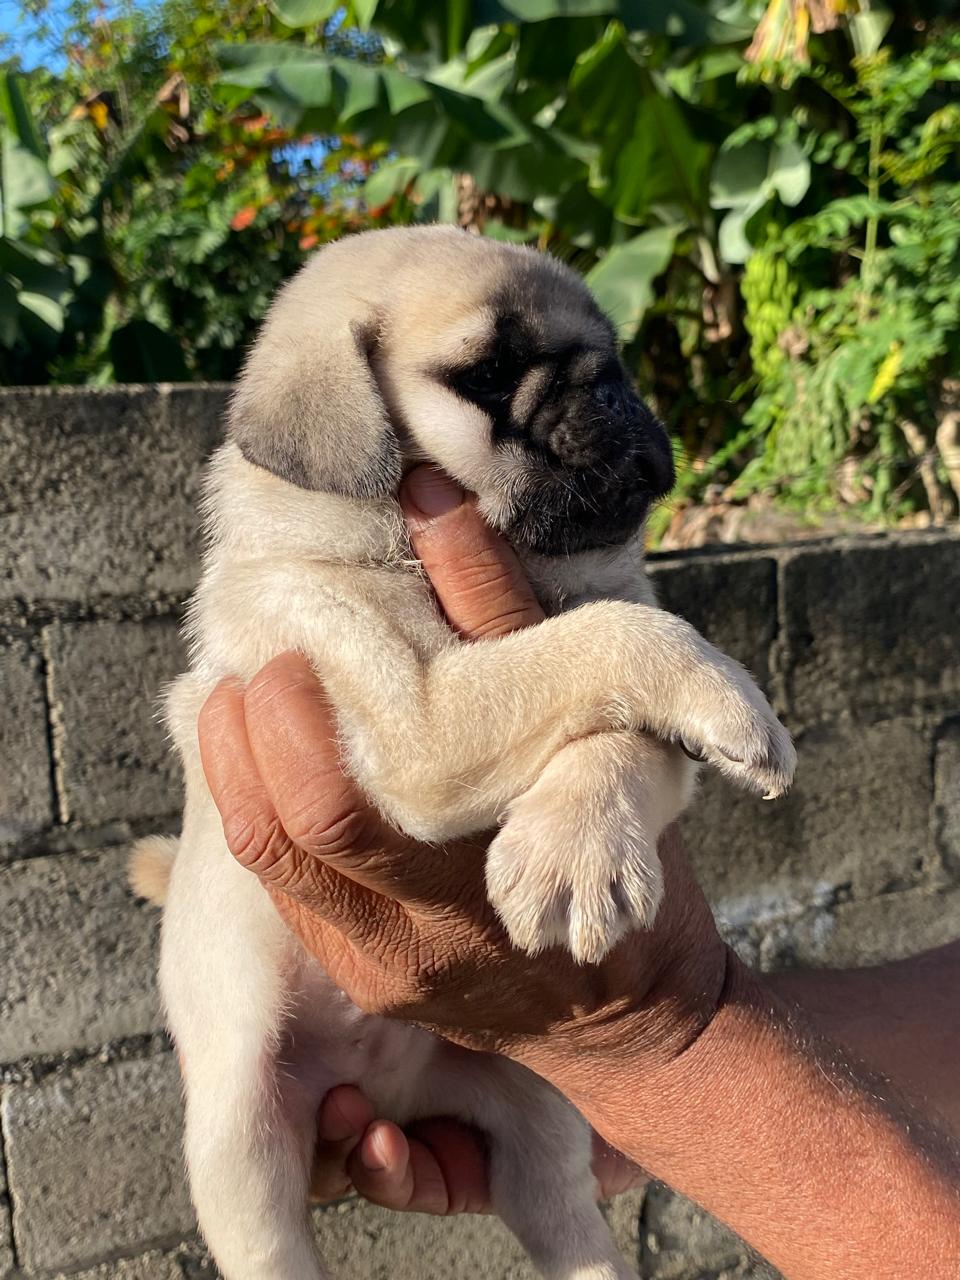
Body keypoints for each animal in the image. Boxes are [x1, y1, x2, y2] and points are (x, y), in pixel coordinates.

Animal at [135, 230, 798, 1280]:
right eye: (487, 374)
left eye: (615, 355)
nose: (609, 389)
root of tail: (389, 1090)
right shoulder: (420, 720)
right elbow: (603, 641)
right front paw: (729, 692)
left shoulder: (637, 731)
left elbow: (613, 716)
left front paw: (575, 853)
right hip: (238, 1140)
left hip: (539, 1127)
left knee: (567, 1225)